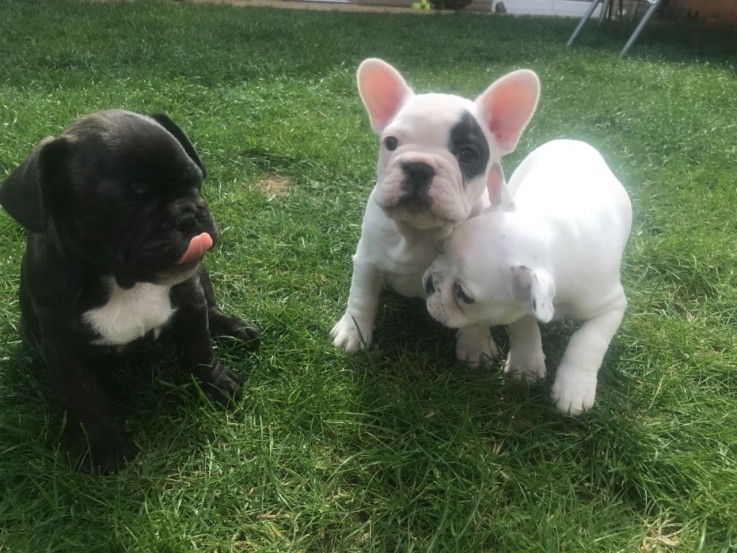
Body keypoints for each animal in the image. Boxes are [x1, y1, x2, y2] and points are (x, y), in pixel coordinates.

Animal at [0, 110, 258, 472]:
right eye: (125, 201)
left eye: (195, 180)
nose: (188, 213)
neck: (125, 282)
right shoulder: (62, 350)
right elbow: (87, 400)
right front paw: (107, 446)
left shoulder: (190, 299)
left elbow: (200, 348)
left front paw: (217, 384)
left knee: (212, 308)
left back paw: (236, 329)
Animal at [330, 58, 536, 360]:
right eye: (391, 143)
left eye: (468, 155)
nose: (418, 166)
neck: (420, 232)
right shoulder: (367, 259)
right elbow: (362, 296)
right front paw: (352, 332)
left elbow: (478, 317)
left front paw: (475, 345)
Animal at [426, 140, 632, 412]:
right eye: (442, 248)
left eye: (463, 294)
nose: (430, 283)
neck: (554, 246)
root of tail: (571, 140)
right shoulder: (520, 303)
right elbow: (524, 326)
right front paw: (525, 365)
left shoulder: (611, 306)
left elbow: (587, 341)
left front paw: (574, 387)